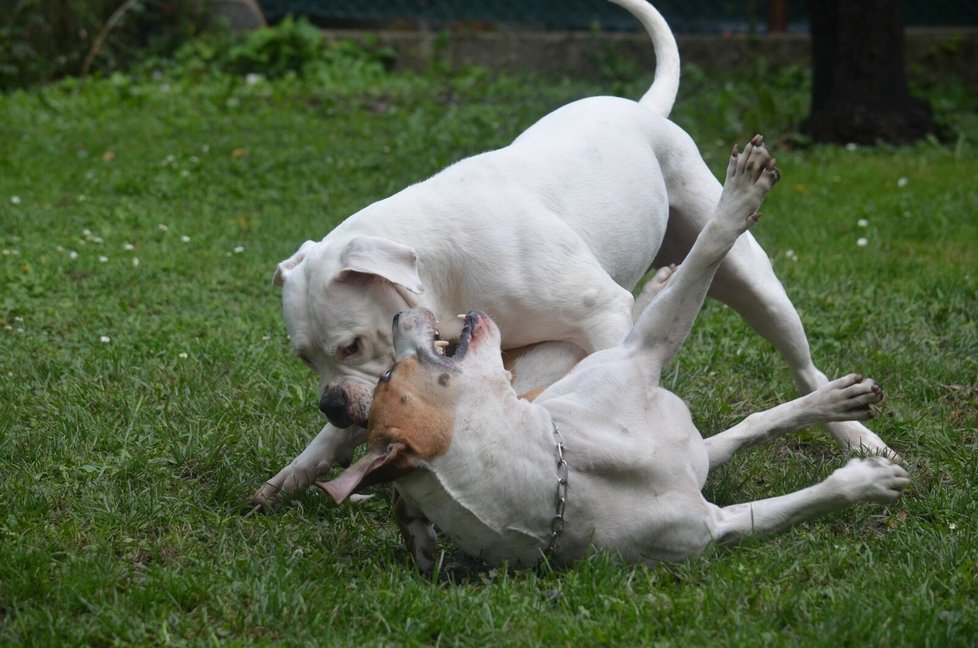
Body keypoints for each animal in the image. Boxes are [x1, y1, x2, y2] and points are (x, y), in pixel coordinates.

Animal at [255, 0, 896, 506]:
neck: (440, 269)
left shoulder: (597, 315)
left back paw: (859, 437)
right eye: (305, 359)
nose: (331, 404)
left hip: (752, 282)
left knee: (801, 364)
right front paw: (299, 469)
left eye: (351, 345)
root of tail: (642, 108)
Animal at [320, 138, 908, 572]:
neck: (564, 467)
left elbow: (753, 415)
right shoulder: (712, 526)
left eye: (388, 374)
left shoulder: (639, 362)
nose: (400, 316)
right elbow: (796, 500)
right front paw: (869, 481)